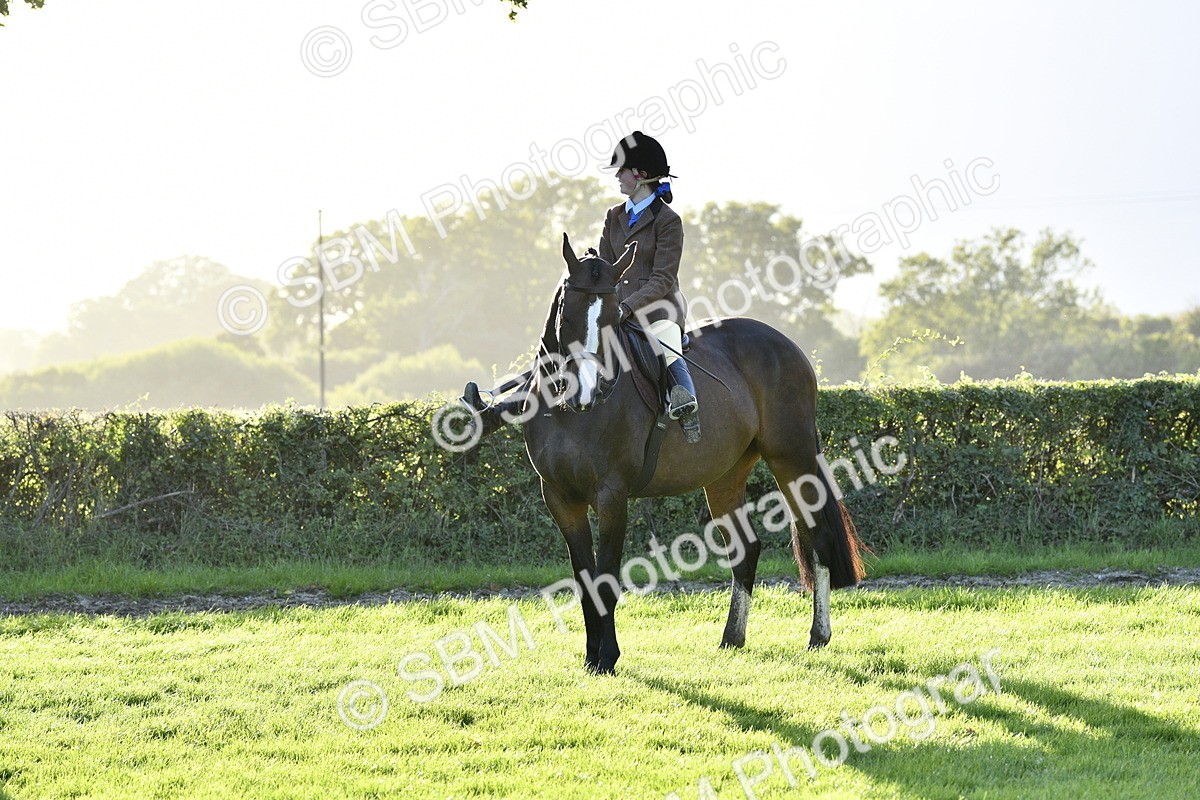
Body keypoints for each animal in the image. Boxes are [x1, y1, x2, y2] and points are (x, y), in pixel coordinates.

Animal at [497, 233, 865, 674]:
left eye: (611, 317)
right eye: (567, 315)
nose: (588, 390)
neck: (571, 413)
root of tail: (788, 346)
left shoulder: (612, 496)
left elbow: (606, 580)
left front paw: (607, 658)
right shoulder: (560, 499)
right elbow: (585, 581)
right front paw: (590, 657)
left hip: (792, 460)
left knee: (817, 538)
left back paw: (818, 635)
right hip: (725, 476)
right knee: (746, 549)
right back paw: (732, 638)